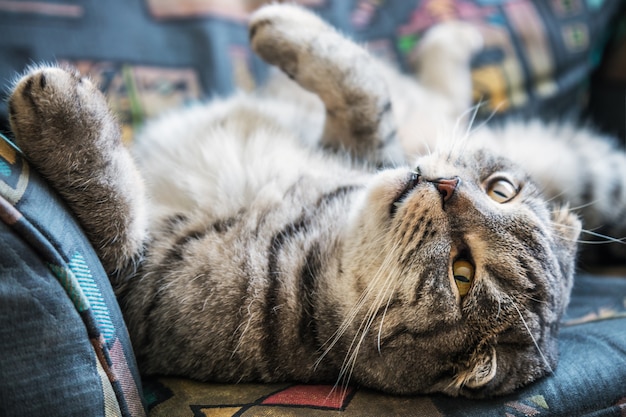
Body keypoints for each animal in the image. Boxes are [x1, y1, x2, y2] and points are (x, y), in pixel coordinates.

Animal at [6, 4, 624, 398]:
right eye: (501, 189)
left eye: (463, 272)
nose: (446, 188)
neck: (318, 226)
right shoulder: (362, 144)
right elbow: (368, 94)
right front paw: (285, 27)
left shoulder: (136, 287)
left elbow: (110, 219)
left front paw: (61, 117)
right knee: (434, 90)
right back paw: (456, 36)